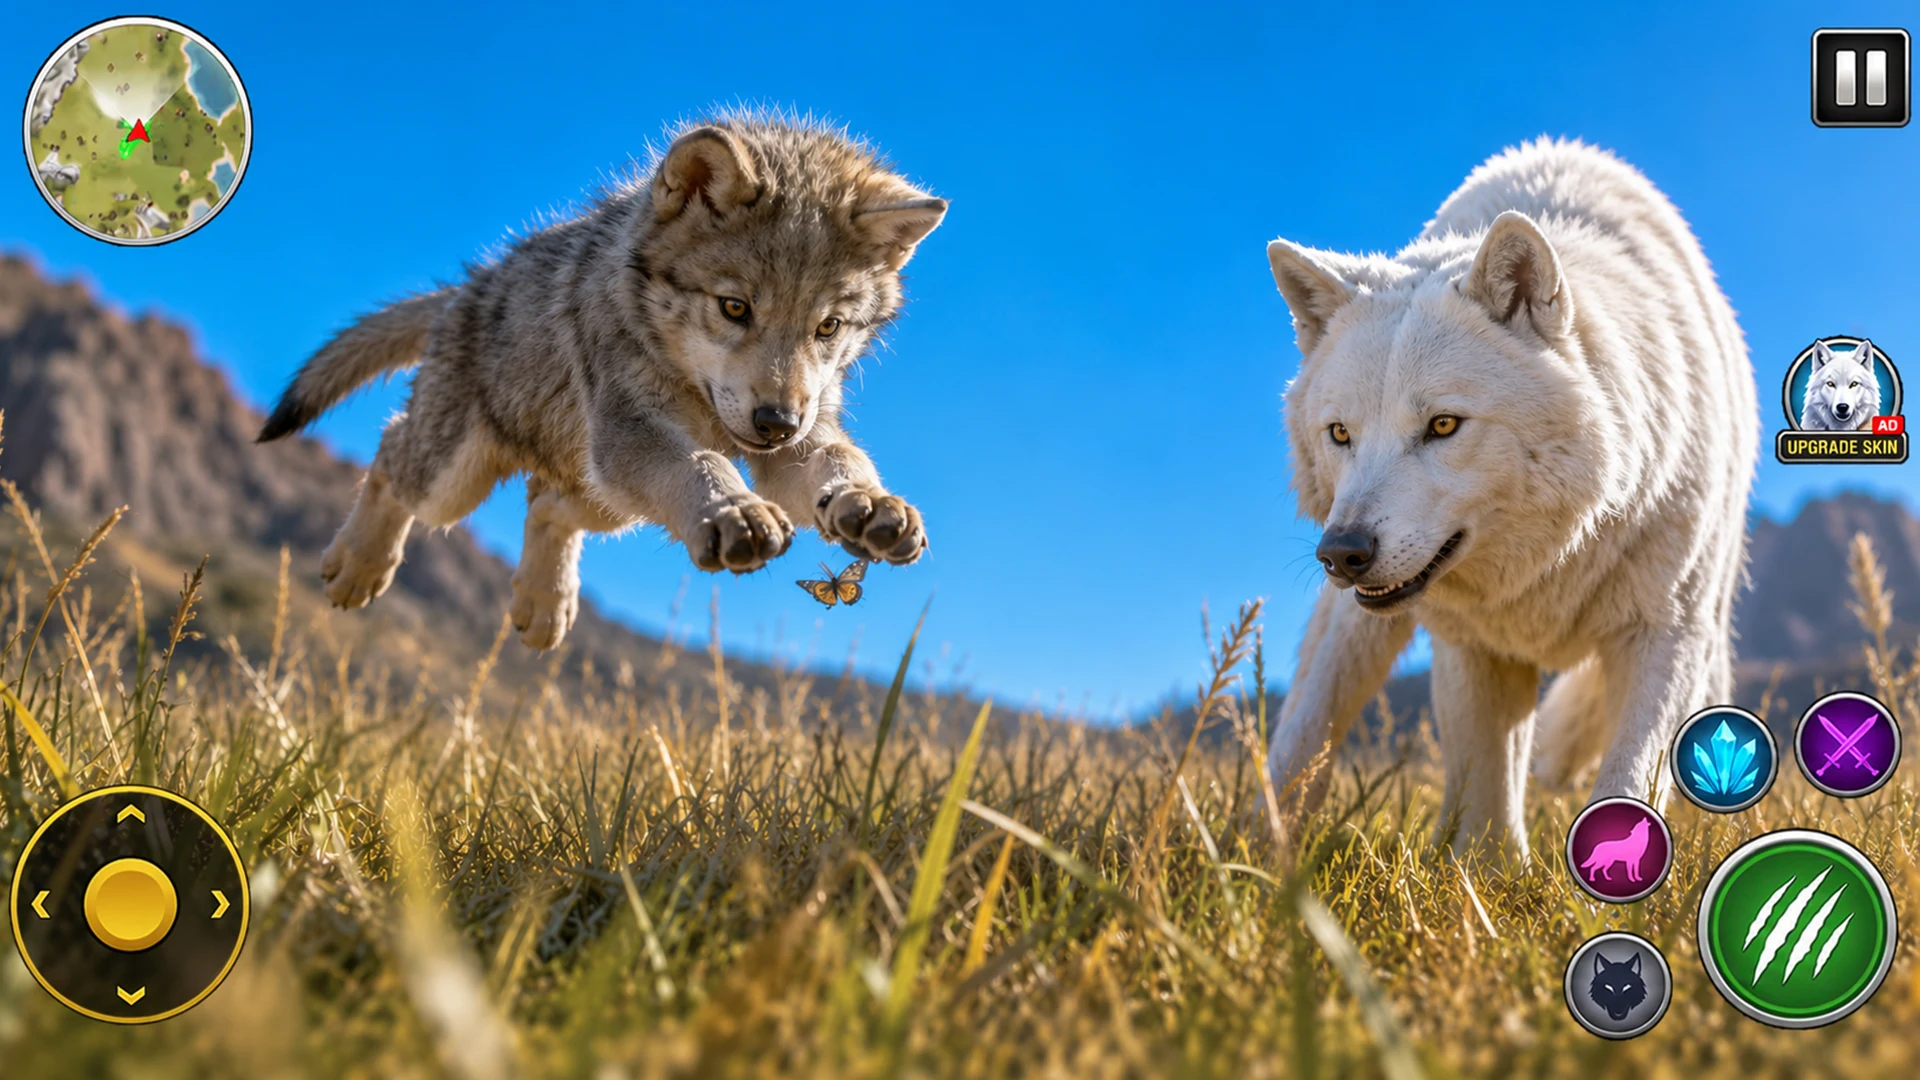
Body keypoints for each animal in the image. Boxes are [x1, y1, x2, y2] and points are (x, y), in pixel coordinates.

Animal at [257, 114, 945, 649]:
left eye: (828, 326)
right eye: (734, 308)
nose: (775, 424)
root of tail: (467, 288)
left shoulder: (796, 438)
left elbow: (841, 461)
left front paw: (871, 504)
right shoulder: (635, 429)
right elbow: (703, 465)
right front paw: (736, 511)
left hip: (604, 493)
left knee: (545, 503)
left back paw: (543, 605)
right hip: (461, 482)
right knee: (391, 451)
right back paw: (358, 567)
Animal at [1263, 139, 1757, 860]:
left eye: (1443, 425)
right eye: (1341, 434)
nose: (1341, 554)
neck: (1553, 560)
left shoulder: (1666, 633)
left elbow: (1630, 777)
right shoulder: (1473, 645)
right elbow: (1489, 809)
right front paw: (1488, 879)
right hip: (1355, 634)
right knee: (1305, 733)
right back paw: (1252, 853)